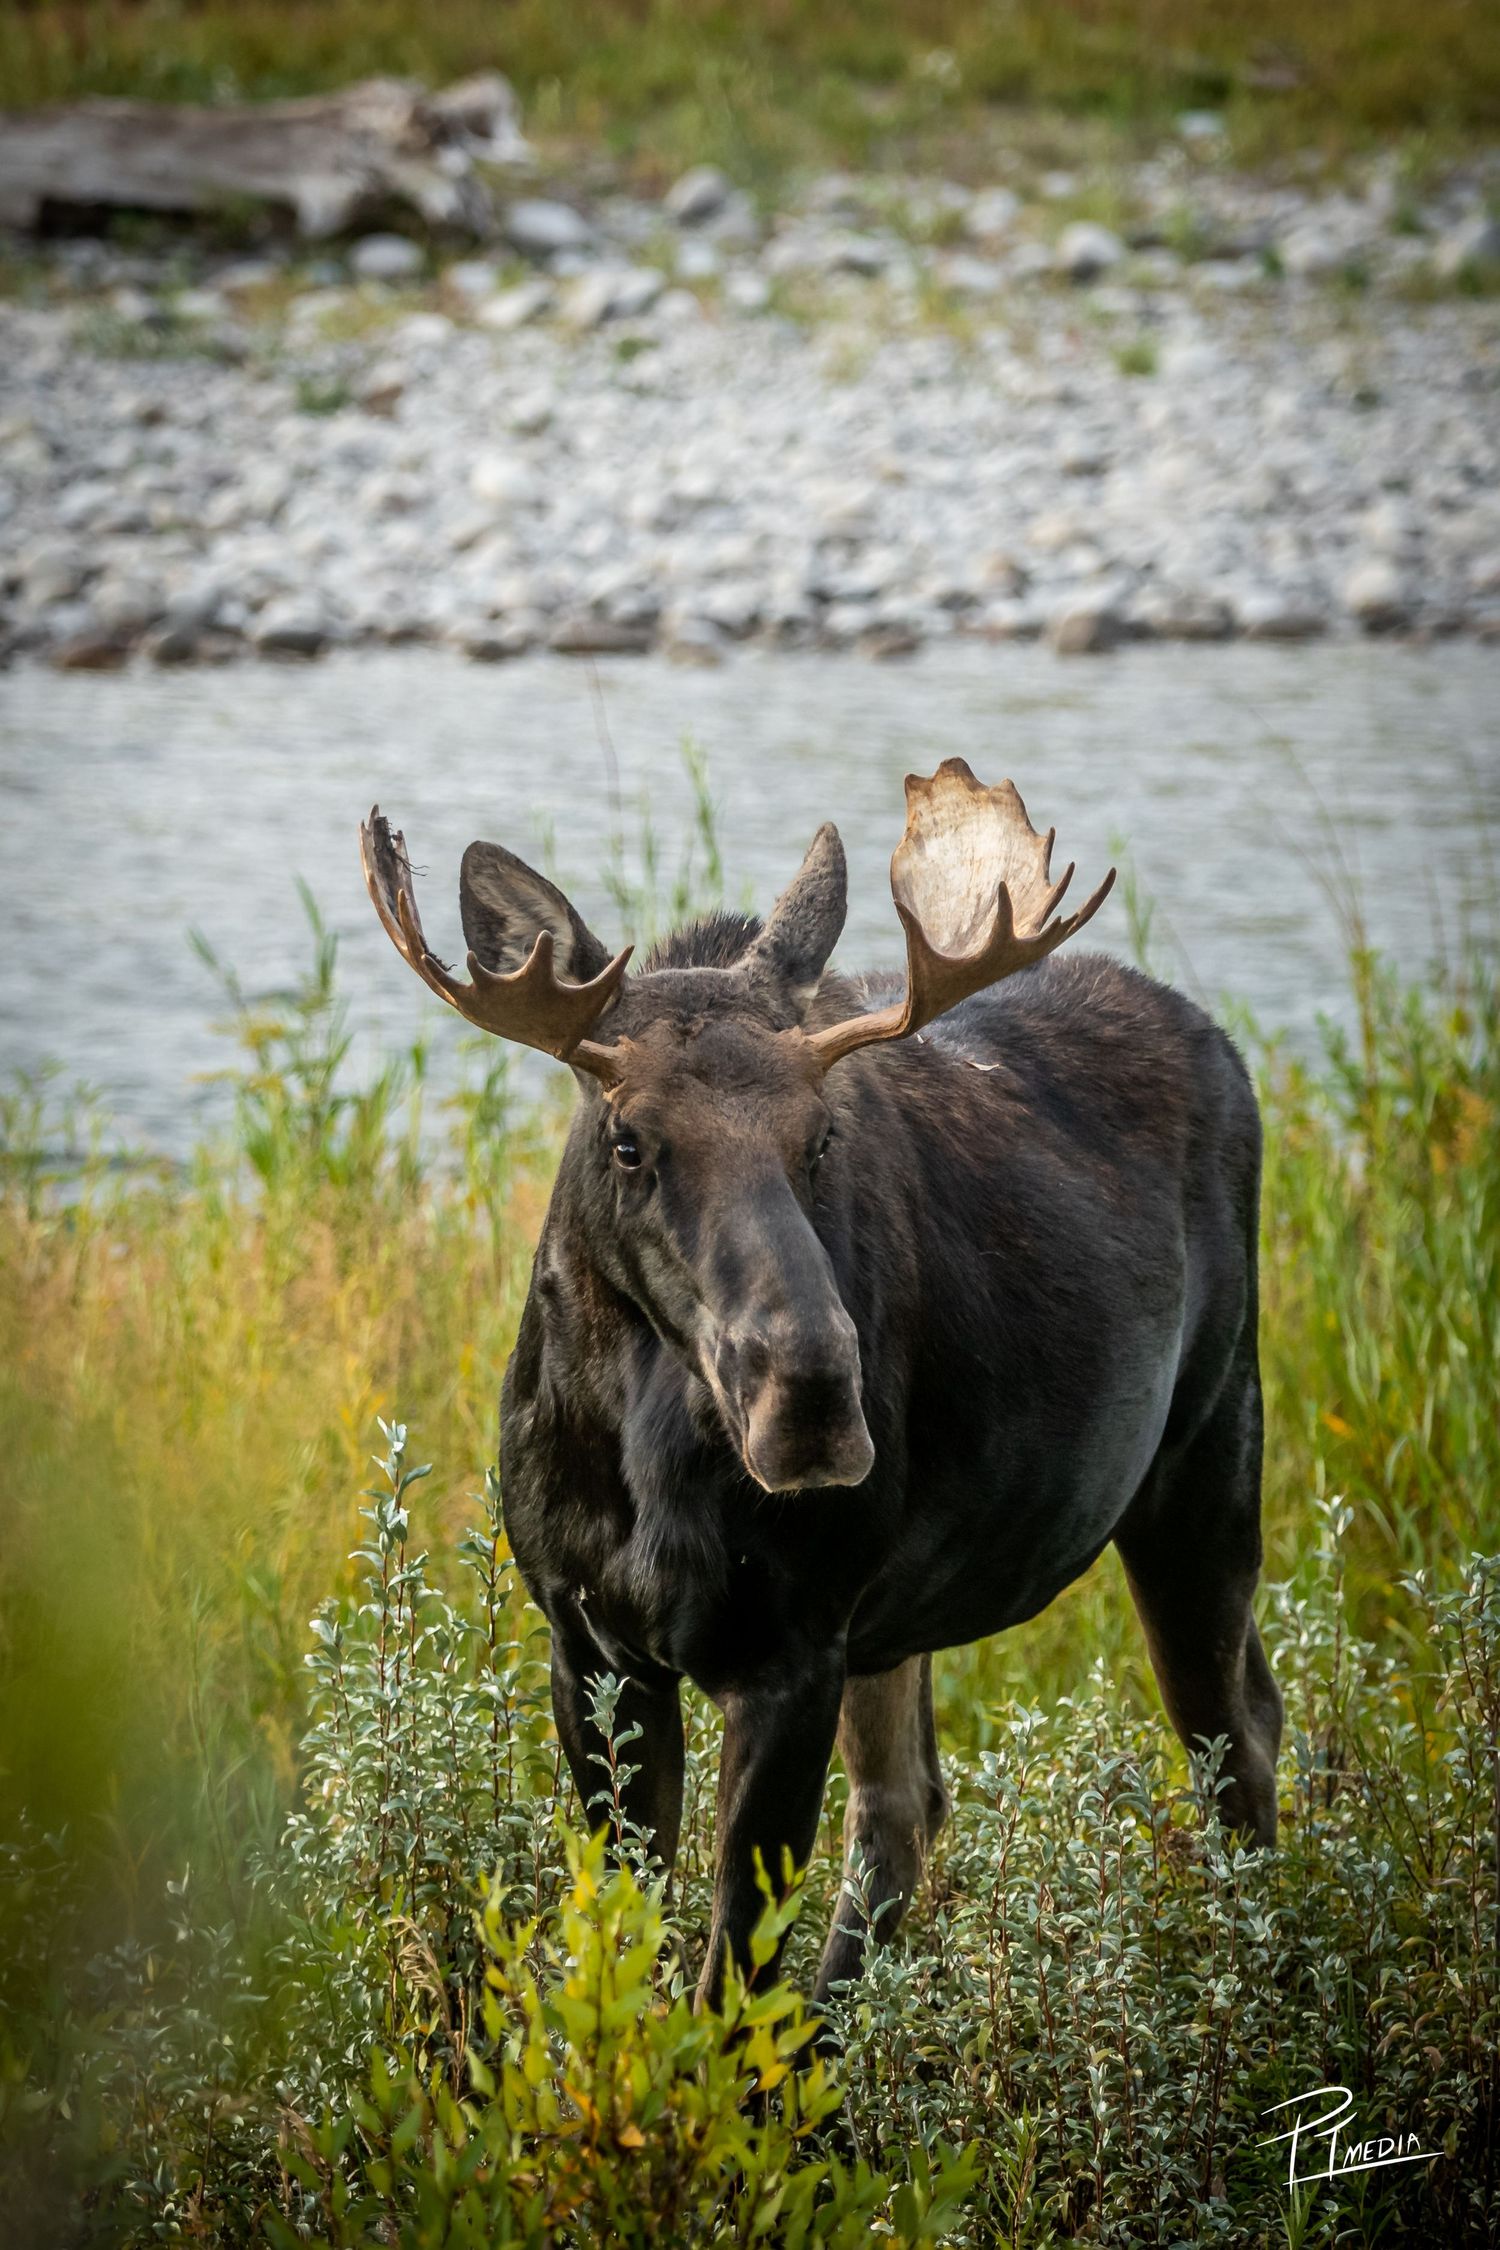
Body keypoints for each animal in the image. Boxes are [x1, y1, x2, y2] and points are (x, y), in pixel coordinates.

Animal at [360, 758, 1282, 2005]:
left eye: (822, 1136)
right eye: (629, 1141)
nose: (811, 1403)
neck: (642, 1465)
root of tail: (1221, 1043)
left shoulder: (790, 1651)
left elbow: (726, 1977)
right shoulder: (585, 1636)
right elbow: (628, 1946)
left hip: (1207, 1460)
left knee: (1233, 1743)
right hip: (899, 1619)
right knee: (912, 1805)